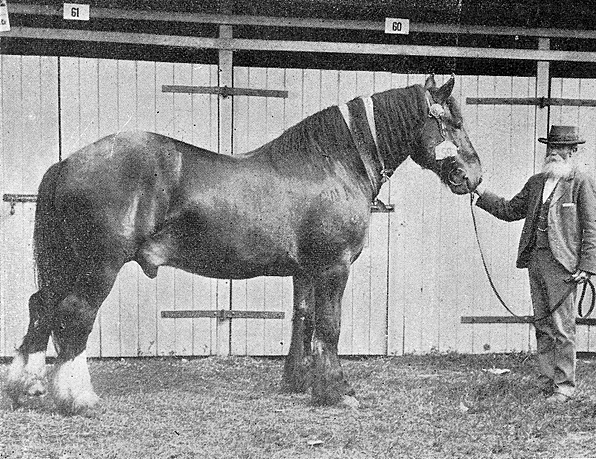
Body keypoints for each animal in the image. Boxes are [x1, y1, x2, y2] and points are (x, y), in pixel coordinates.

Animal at [4, 74, 481, 414]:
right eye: (453, 122)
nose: (474, 177)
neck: (333, 164)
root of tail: (67, 163)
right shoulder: (333, 267)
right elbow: (329, 326)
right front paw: (338, 391)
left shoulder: (306, 271)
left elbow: (304, 322)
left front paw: (300, 384)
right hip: (96, 267)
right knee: (73, 315)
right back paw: (77, 398)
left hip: (65, 264)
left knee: (41, 307)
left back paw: (24, 386)